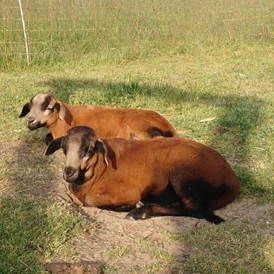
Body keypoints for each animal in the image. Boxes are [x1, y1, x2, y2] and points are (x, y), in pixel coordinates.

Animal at [45, 125, 240, 224]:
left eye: (90, 149)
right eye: (64, 147)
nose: (69, 173)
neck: (100, 170)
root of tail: (233, 182)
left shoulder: (128, 191)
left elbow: (89, 200)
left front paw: (129, 207)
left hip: (183, 175)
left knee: (194, 210)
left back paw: (141, 211)